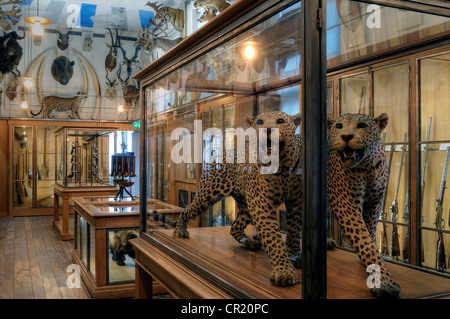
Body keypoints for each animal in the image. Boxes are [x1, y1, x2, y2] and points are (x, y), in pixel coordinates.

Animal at [174, 112, 304, 288]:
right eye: (259, 122)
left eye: (280, 121)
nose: (268, 130)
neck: (281, 167)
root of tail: (222, 152)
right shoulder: (261, 204)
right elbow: (273, 237)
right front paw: (284, 271)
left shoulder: (296, 202)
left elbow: (293, 232)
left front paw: (294, 255)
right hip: (208, 195)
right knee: (188, 208)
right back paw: (180, 230)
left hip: (246, 206)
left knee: (234, 226)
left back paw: (250, 242)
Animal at [326, 113, 400, 300]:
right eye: (339, 126)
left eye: (362, 125)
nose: (346, 136)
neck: (367, 167)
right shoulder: (346, 204)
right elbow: (362, 238)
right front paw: (384, 281)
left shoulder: (375, 203)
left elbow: (371, 232)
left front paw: (369, 264)